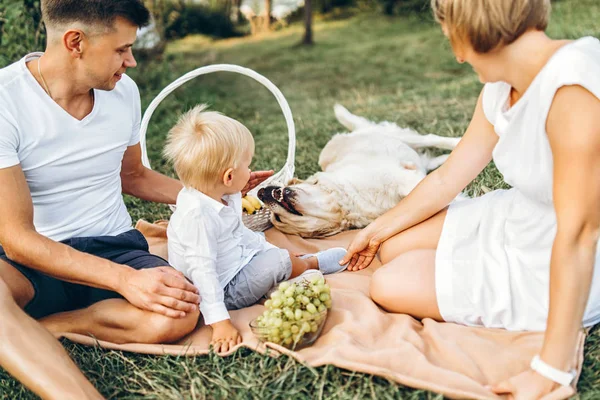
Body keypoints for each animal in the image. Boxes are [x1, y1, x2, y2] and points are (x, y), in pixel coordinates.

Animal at [256, 104, 460, 239]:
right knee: (430, 161)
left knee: (432, 139)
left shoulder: (403, 180)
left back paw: (457, 142)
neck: (349, 200)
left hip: (399, 137)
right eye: (278, 219)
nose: (261, 192)